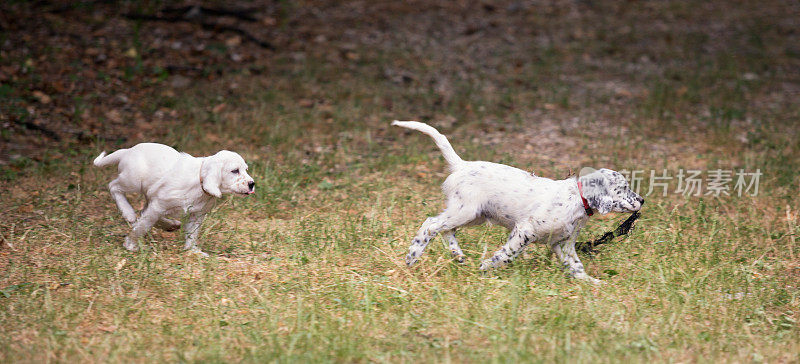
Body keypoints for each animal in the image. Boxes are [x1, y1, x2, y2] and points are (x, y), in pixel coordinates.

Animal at [94, 142, 256, 256]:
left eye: (246, 170)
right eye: (235, 171)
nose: (252, 184)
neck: (199, 182)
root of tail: (128, 150)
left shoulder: (196, 215)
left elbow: (192, 234)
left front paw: (192, 251)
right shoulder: (158, 205)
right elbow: (142, 226)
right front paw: (131, 244)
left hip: (148, 192)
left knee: (144, 211)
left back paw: (170, 225)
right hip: (133, 181)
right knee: (114, 186)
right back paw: (128, 212)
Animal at [394, 121, 644, 282]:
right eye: (623, 188)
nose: (642, 199)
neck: (577, 199)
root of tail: (462, 165)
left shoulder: (563, 244)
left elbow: (577, 268)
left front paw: (594, 285)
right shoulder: (525, 230)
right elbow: (507, 254)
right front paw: (487, 266)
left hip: (473, 215)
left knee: (446, 229)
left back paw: (458, 255)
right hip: (465, 211)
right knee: (431, 224)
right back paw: (413, 256)